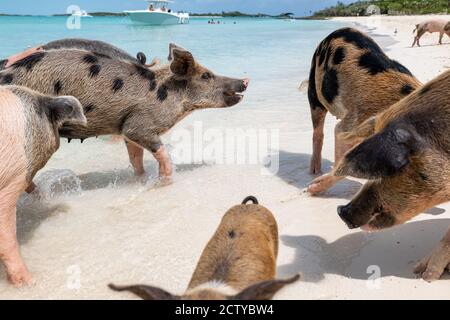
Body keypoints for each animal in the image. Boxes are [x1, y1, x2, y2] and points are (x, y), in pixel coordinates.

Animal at [0, 43, 250, 186]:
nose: (245, 80)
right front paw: (164, 181)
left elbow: (135, 157)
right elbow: (160, 153)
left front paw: (140, 179)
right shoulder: (139, 125)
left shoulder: (125, 126)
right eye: (206, 76)